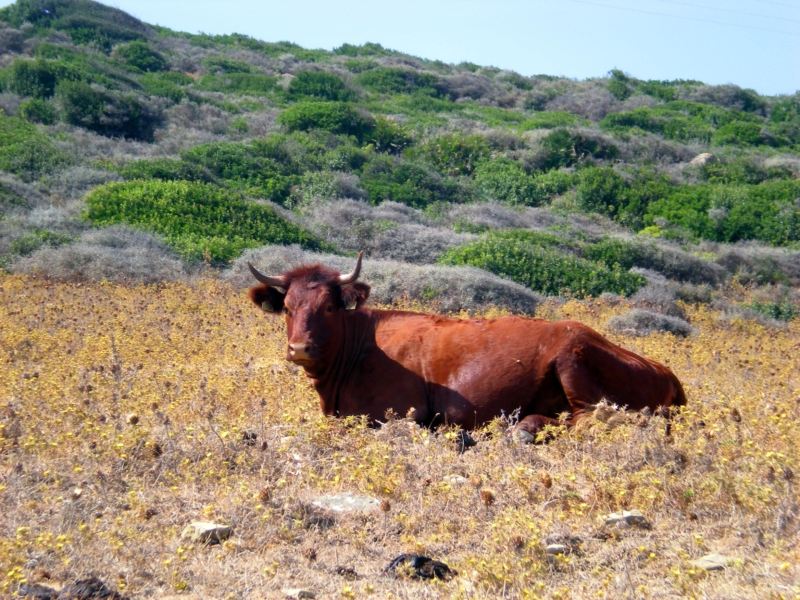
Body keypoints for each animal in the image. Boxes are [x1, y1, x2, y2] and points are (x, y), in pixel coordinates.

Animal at [247, 251, 684, 438]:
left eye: (329, 307)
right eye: (288, 308)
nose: (300, 348)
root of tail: (667, 371)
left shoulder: (402, 411)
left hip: (573, 358)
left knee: (595, 418)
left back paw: (524, 428)